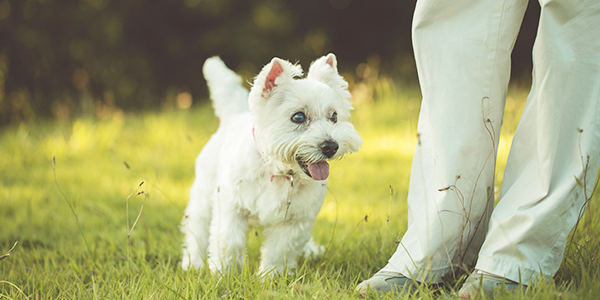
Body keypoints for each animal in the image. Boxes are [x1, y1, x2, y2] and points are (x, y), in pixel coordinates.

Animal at [182, 54, 360, 276]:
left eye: (334, 116)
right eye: (298, 117)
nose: (331, 146)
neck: (278, 171)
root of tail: (232, 116)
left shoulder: (294, 221)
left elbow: (278, 252)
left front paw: (269, 278)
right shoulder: (232, 207)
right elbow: (229, 242)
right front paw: (226, 275)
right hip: (204, 197)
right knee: (196, 230)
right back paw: (193, 264)